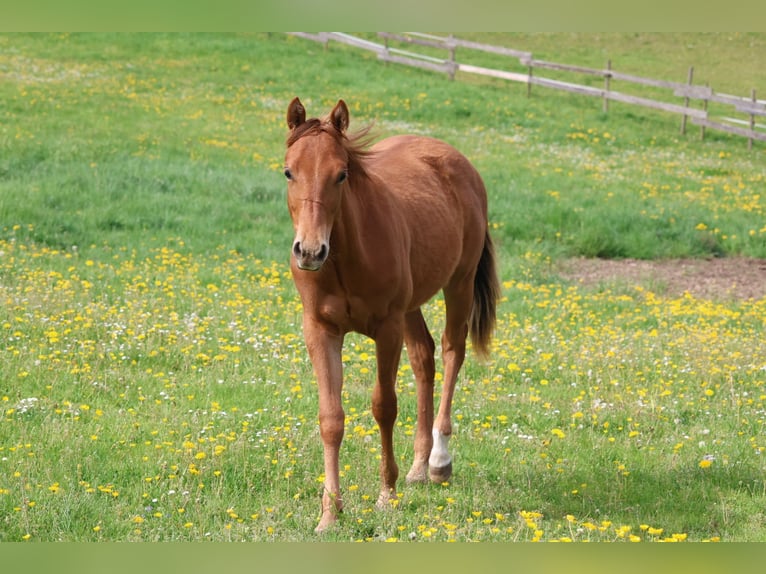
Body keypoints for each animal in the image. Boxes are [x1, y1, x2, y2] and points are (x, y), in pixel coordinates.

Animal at [283, 97, 499, 532]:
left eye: (341, 174)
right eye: (288, 171)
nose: (310, 251)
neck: (347, 258)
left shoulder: (386, 329)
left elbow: (384, 407)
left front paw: (387, 495)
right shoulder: (320, 331)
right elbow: (331, 419)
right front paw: (330, 513)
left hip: (459, 283)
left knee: (452, 351)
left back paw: (438, 461)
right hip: (412, 307)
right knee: (424, 357)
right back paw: (418, 466)